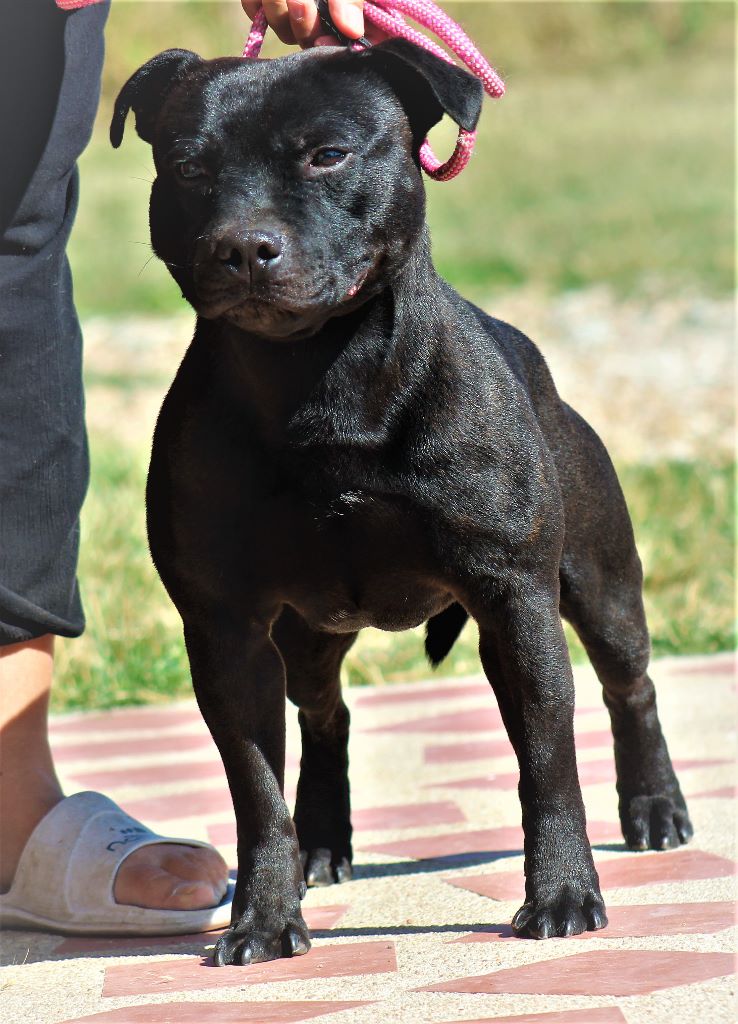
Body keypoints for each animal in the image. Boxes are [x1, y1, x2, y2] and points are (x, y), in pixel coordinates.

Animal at [109, 39, 691, 966]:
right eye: (189, 167)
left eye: (328, 155)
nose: (243, 246)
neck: (317, 379)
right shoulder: (227, 629)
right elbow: (256, 789)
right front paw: (263, 918)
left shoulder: (514, 598)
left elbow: (547, 762)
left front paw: (564, 894)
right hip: (306, 633)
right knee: (325, 715)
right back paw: (321, 843)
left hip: (598, 585)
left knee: (628, 683)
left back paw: (656, 809)